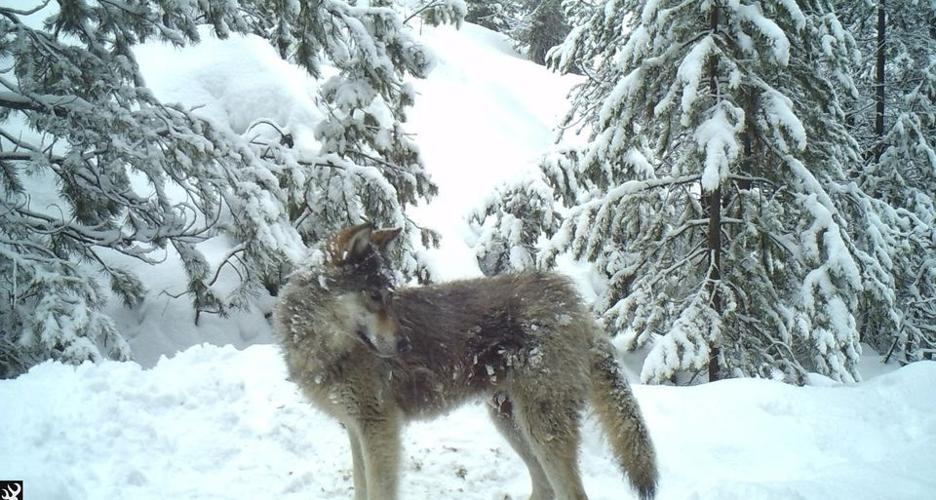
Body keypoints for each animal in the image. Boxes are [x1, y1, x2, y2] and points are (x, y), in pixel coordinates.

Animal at [274, 224, 658, 500]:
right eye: (374, 295)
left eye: (389, 296)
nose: (404, 344)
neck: (324, 349)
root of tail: (576, 304)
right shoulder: (355, 429)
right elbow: (359, 486)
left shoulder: (379, 429)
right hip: (511, 423)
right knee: (546, 489)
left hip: (539, 429)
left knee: (572, 494)